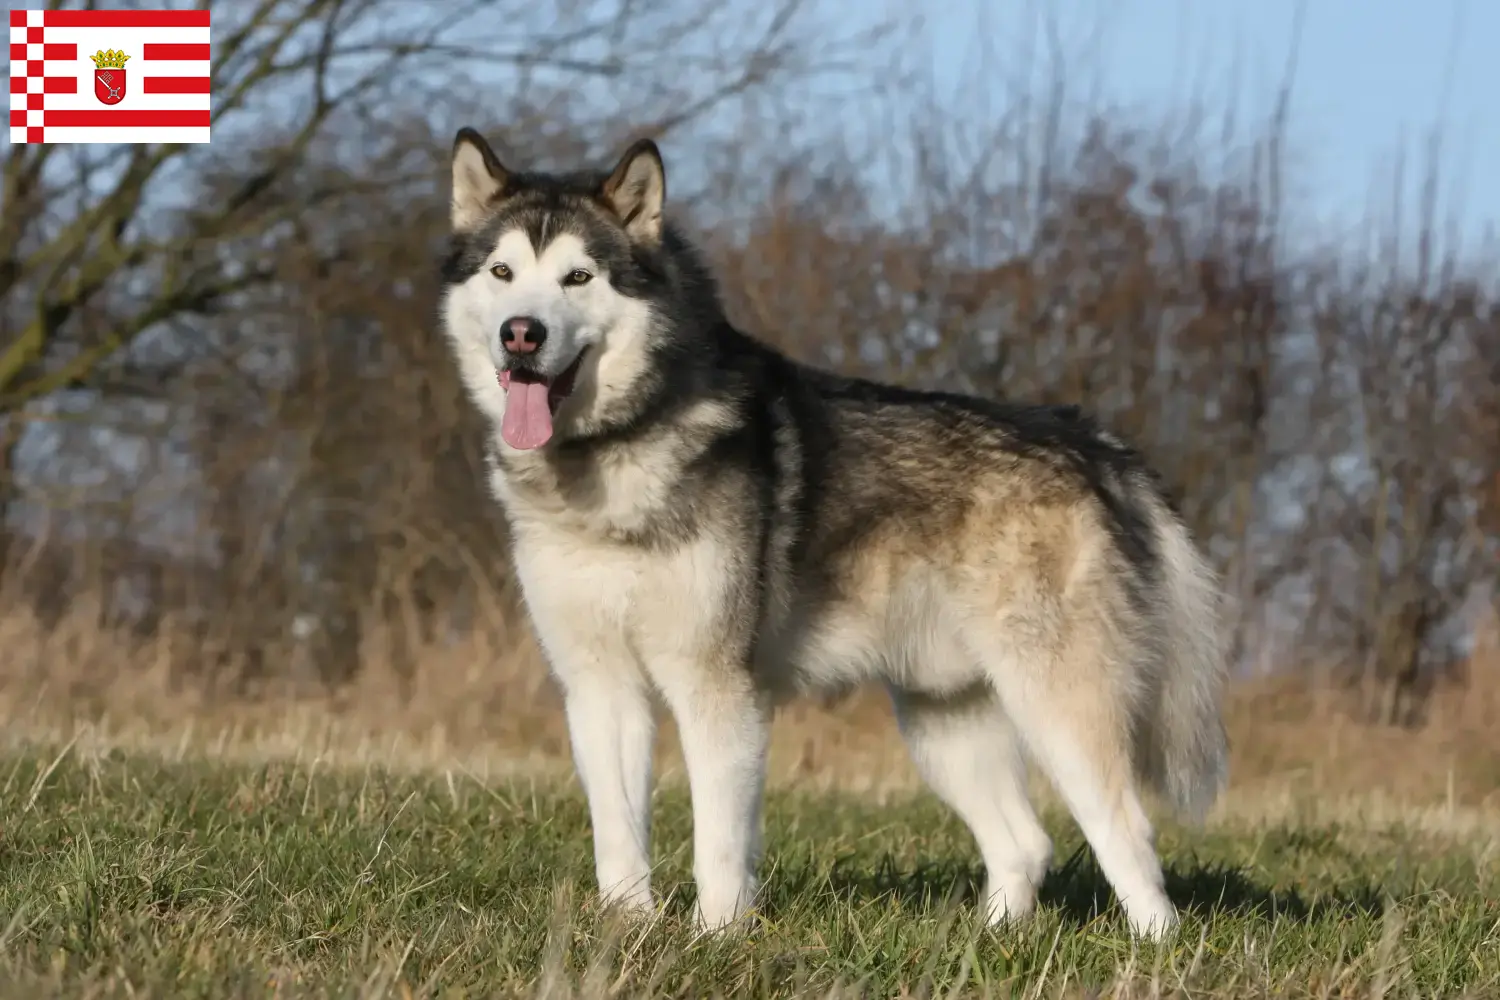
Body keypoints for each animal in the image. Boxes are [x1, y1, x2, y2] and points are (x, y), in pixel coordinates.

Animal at [438, 127, 1230, 941]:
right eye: (503, 271)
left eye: (578, 276)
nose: (521, 334)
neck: (613, 455)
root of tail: (1090, 440)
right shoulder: (598, 686)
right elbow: (618, 835)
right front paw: (626, 932)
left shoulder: (718, 686)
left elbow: (719, 843)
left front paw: (716, 939)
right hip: (943, 718)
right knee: (1025, 843)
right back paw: (990, 942)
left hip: (1059, 707)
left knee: (1127, 835)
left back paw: (1156, 947)